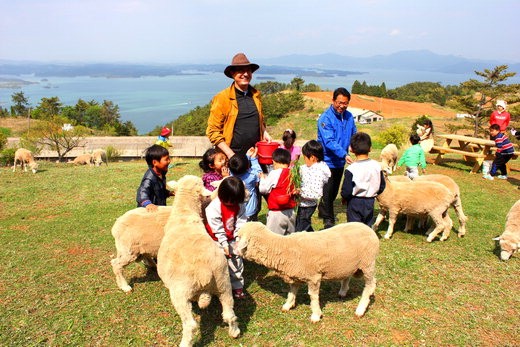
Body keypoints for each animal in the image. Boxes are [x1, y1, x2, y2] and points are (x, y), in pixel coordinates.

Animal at [157, 177, 241, 347]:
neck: (184, 213)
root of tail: (205, 271)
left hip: (180, 292)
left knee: (190, 324)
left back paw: (185, 343)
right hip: (223, 283)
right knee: (229, 313)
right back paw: (235, 331)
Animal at [236, 222, 378, 322]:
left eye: (237, 237)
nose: (233, 251)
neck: (284, 247)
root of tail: (368, 228)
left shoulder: (314, 277)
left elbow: (313, 297)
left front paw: (316, 315)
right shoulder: (294, 275)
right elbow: (292, 292)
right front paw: (288, 305)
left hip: (368, 264)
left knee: (370, 285)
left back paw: (360, 309)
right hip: (349, 264)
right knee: (347, 277)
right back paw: (343, 292)